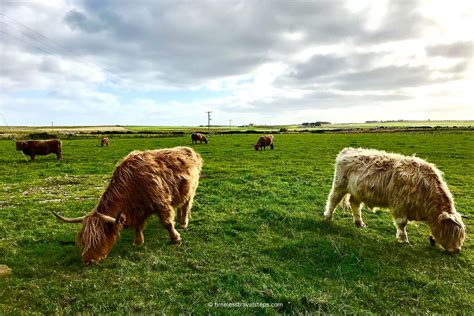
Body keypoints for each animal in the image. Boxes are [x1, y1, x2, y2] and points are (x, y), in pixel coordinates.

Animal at [52, 146, 204, 264]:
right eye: (83, 240)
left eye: (99, 238)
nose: (88, 260)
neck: (132, 184)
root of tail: (189, 149)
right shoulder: (138, 209)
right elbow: (138, 226)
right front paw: (138, 242)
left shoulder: (160, 202)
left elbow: (167, 223)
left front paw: (176, 238)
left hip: (191, 189)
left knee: (186, 205)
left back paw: (183, 223)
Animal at [324, 147, 464, 253]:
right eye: (452, 232)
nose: (456, 250)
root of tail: (347, 150)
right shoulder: (399, 205)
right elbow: (402, 223)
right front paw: (403, 239)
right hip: (339, 185)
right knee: (333, 200)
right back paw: (328, 217)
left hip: (357, 192)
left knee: (355, 204)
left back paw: (359, 223)